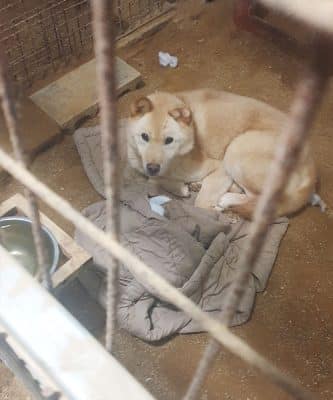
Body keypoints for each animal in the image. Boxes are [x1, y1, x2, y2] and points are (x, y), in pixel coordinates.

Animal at [127, 88, 316, 219]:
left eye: (169, 140)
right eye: (144, 137)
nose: (152, 167)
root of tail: (310, 165)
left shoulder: (220, 167)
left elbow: (200, 203)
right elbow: (153, 180)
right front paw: (181, 187)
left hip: (236, 150)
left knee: (260, 199)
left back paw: (225, 198)